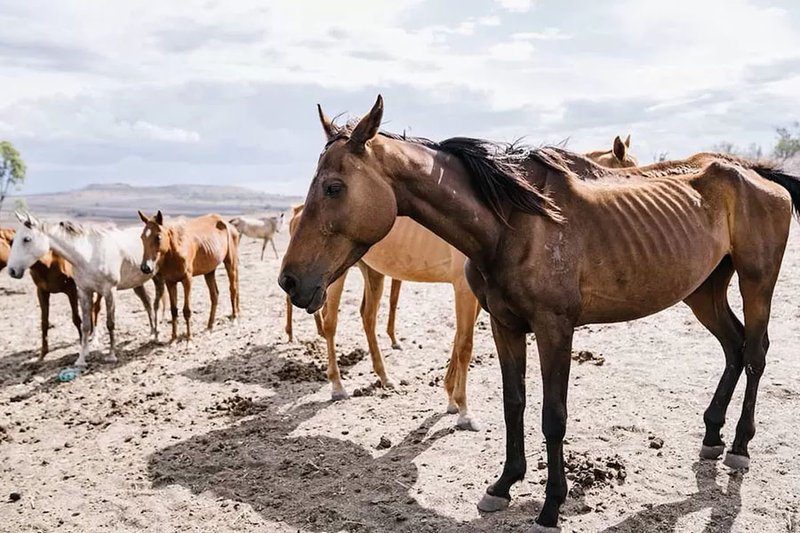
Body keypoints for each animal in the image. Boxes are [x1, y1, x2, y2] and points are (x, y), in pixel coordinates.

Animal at [7, 212, 158, 366]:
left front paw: (111, 355)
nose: (12, 271)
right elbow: (85, 326)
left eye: (26, 239)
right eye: (13, 241)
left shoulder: (109, 291)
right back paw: (152, 334)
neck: (89, 255)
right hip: (137, 284)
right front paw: (81, 359)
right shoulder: (84, 292)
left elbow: (110, 323)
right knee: (147, 303)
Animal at [138, 210, 239, 338]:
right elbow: (173, 310)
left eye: (158, 237)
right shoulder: (170, 282)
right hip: (209, 271)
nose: (145, 267)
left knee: (233, 289)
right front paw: (173, 338)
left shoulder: (187, 280)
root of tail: (227, 224)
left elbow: (187, 310)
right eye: (142, 237)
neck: (174, 253)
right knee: (214, 295)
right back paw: (209, 327)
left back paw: (234, 318)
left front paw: (189, 339)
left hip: (230, 263)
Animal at [280, 96, 800, 532]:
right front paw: (503, 485)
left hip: (757, 283)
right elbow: (514, 404)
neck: (514, 224)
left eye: (334, 187)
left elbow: (553, 415)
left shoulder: (555, 329)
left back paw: (739, 446)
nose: (290, 281)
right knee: (734, 346)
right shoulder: (504, 324)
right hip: (704, 290)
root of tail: (760, 177)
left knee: (755, 353)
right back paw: (712, 436)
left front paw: (552, 504)